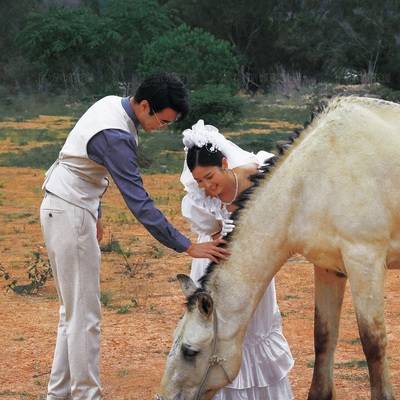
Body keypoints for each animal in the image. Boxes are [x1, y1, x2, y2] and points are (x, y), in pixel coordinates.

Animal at [155, 96, 398, 400]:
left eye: (190, 351)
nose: (163, 397)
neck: (311, 182)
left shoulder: (365, 261)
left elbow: (373, 343)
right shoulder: (329, 268)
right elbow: (323, 336)